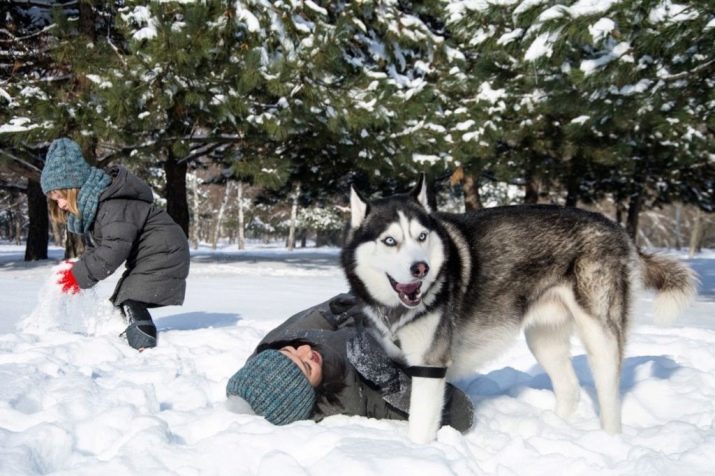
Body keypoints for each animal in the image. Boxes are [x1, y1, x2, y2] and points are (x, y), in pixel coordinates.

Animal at [344, 176, 696, 442]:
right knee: (570, 389)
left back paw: (610, 442)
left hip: (600, 336)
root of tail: (618, 229)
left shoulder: (430, 365)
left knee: (609, 396)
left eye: (421, 236)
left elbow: (419, 425)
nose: (421, 268)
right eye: (390, 241)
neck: (395, 311)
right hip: (542, 339)